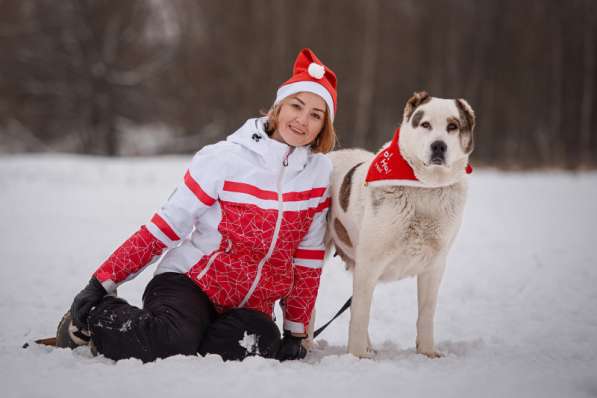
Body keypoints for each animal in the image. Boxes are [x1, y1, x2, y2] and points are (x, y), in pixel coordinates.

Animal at [324, 91, 472, 360]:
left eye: (453, 126)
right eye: (425, 124)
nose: (438, 145)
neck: (425, 187)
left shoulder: (435, 266)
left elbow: (426, 313)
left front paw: (427, 352)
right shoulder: (369, 263)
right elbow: (360, 313)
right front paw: (357, 356)